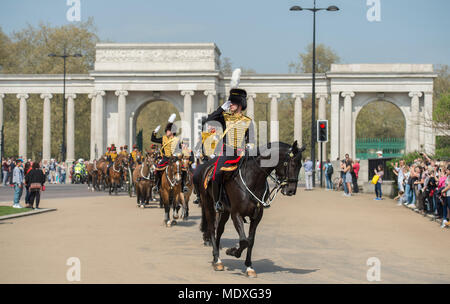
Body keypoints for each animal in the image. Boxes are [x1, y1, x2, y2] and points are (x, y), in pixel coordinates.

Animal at [197, 141, 306, 276]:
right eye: (292, 164)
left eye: (300, 165)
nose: (291, 190)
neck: (253, 179)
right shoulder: (236, 214)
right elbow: (244, 240)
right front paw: (232, 251)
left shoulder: (256, 216)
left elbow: (250, 240)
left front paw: (249, 266)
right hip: (208, 205)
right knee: (212, 228)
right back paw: (217, 259)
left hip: (225, 211)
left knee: (220, 230)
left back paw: (216, 258)